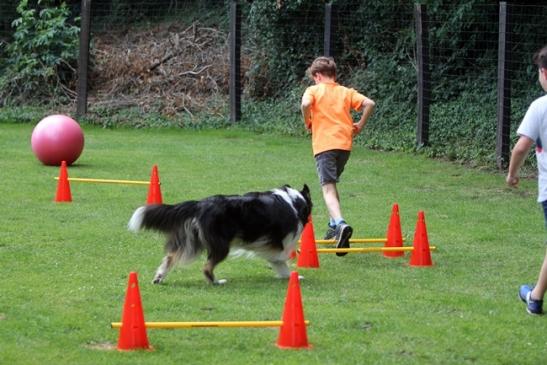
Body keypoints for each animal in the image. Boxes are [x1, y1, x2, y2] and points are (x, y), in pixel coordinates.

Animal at [126, 183, 310, 282]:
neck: (294, 201)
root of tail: (201, 203)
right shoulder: (280, 242)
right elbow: (281, 259)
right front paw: (291, 276)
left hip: (192, 240)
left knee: (170, 257)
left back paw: (159, 277)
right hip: (221, 245)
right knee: (207, 267)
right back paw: (217, 282)